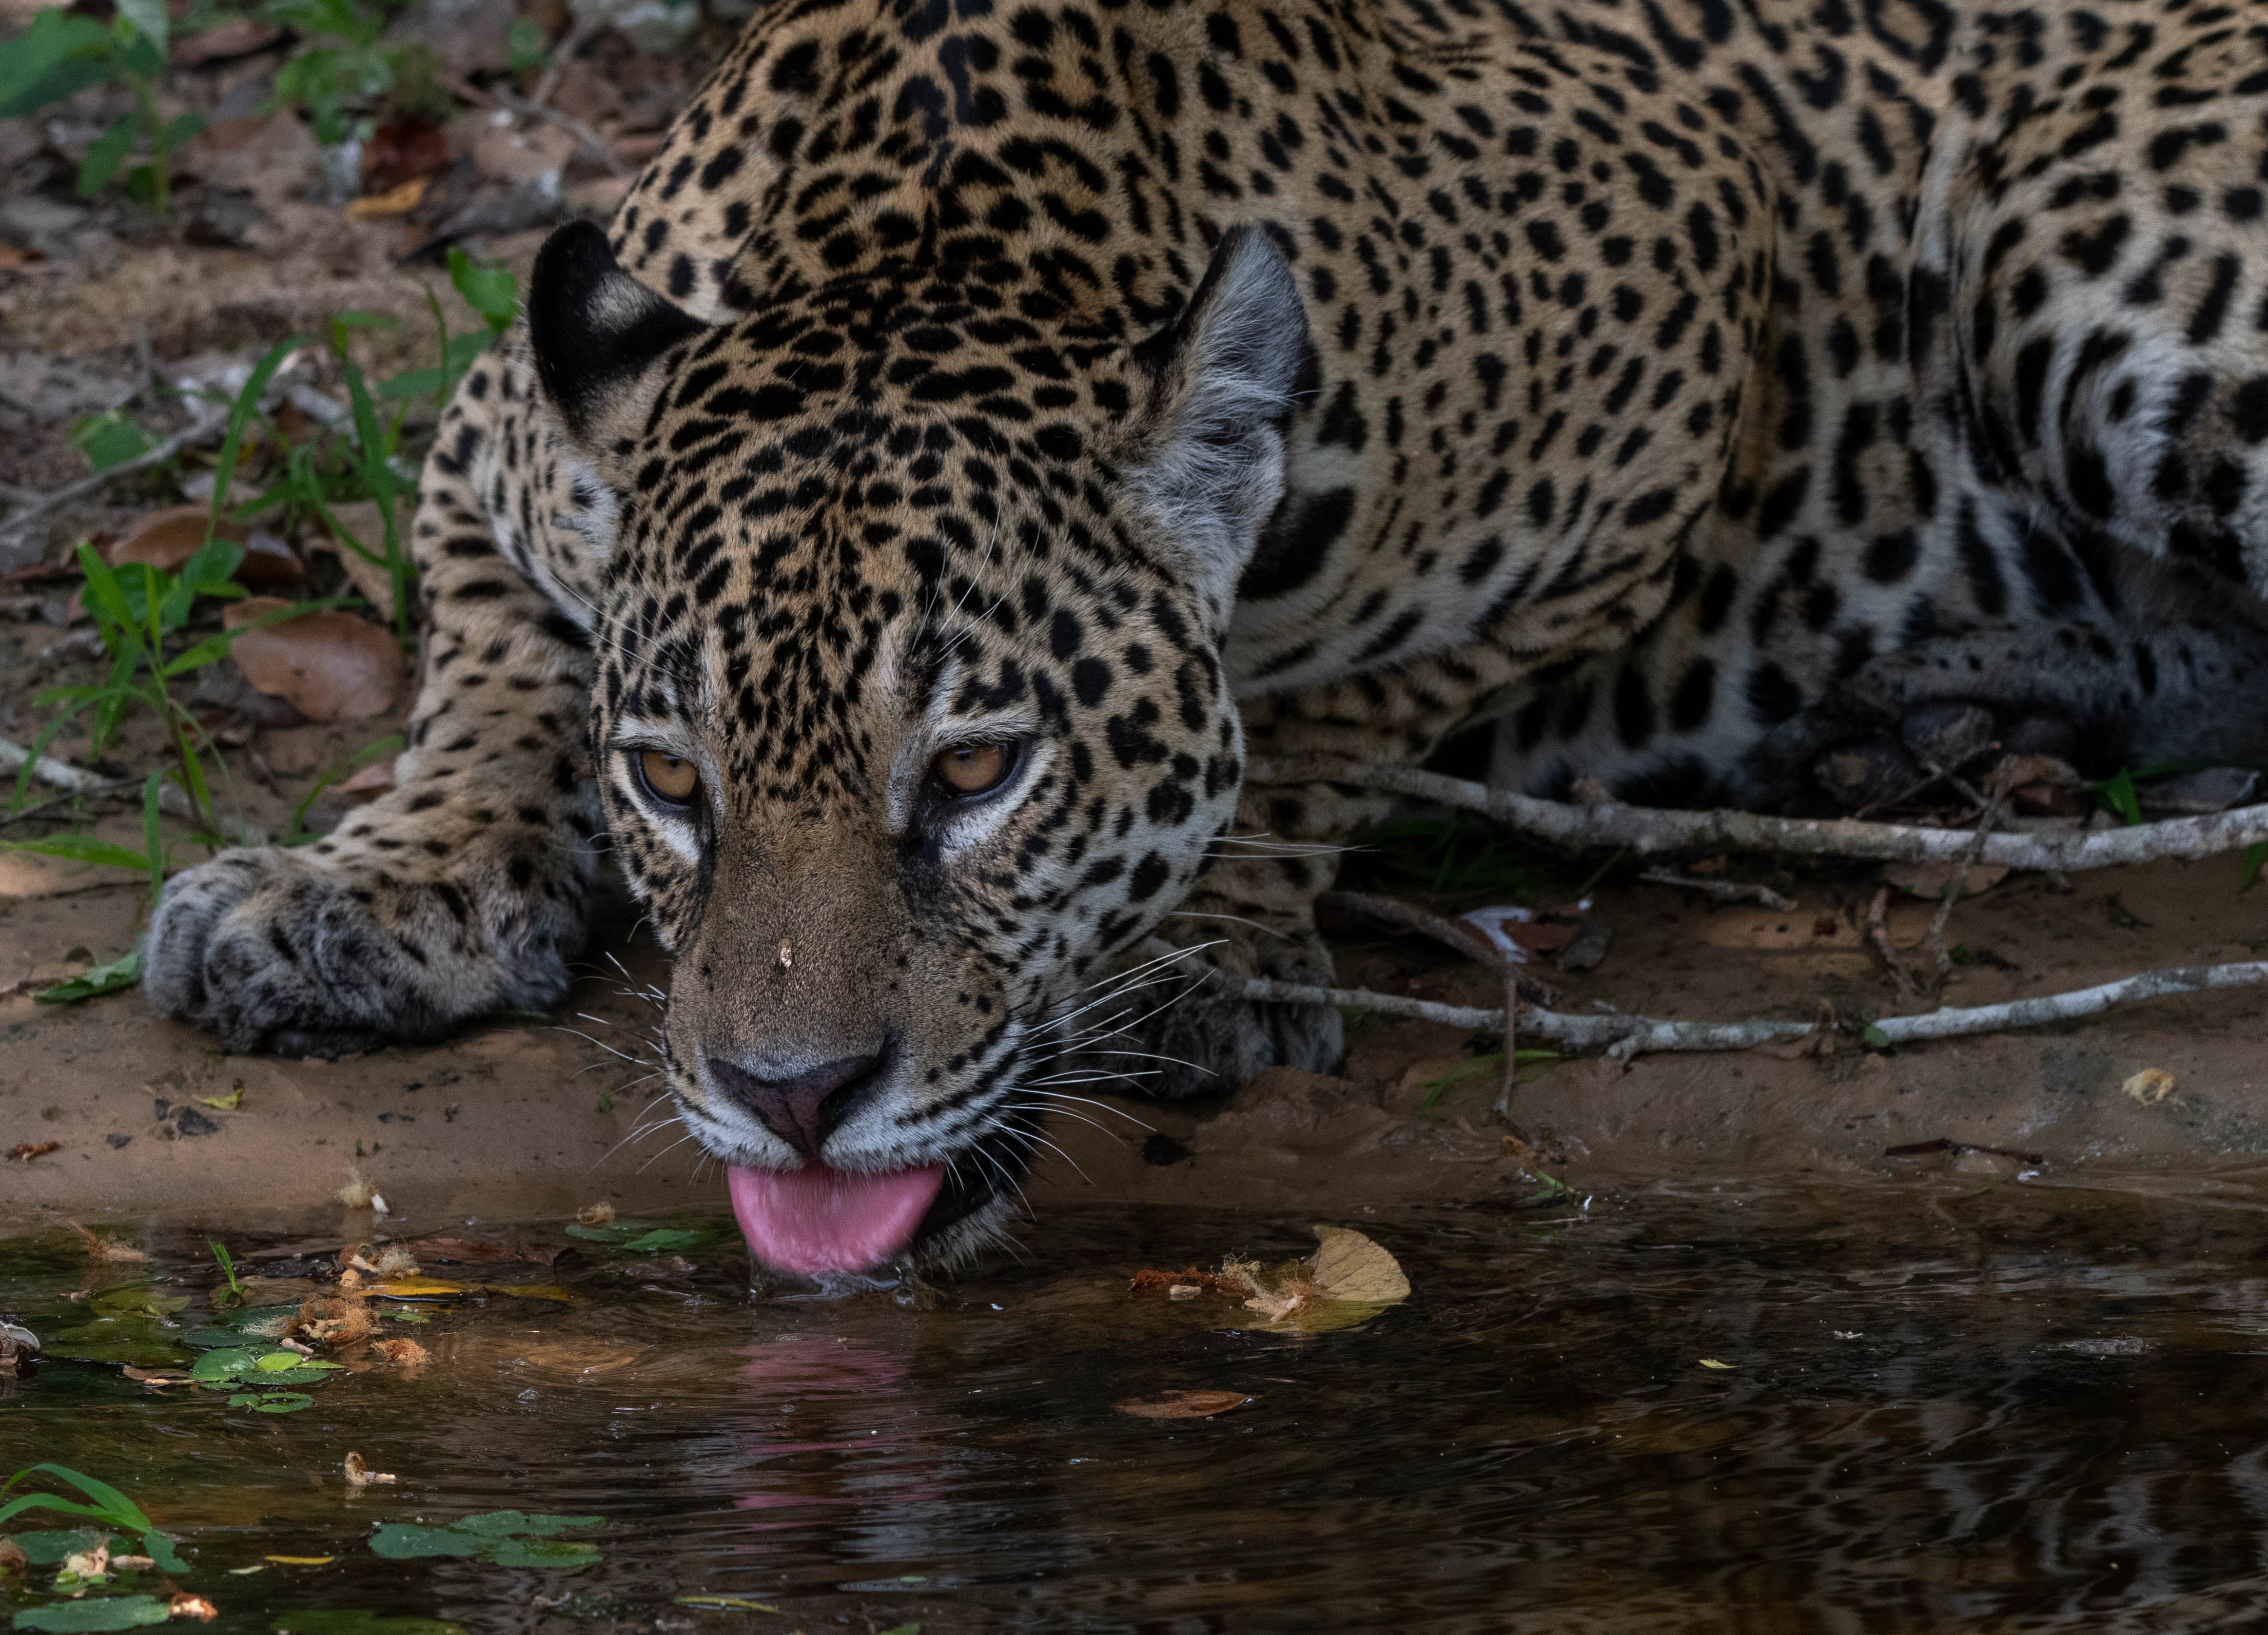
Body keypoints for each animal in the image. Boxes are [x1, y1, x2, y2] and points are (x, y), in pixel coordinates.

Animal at [145, 0, 2268, 1277]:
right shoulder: (490, 432)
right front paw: (358, 892)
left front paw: (1206, 943)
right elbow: (488, 677)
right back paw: (1921, 724)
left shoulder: (1681, 287)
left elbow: (1341, 709)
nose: (790, 1098)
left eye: (979, 770)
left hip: (2064, 250)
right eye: (671, 779)